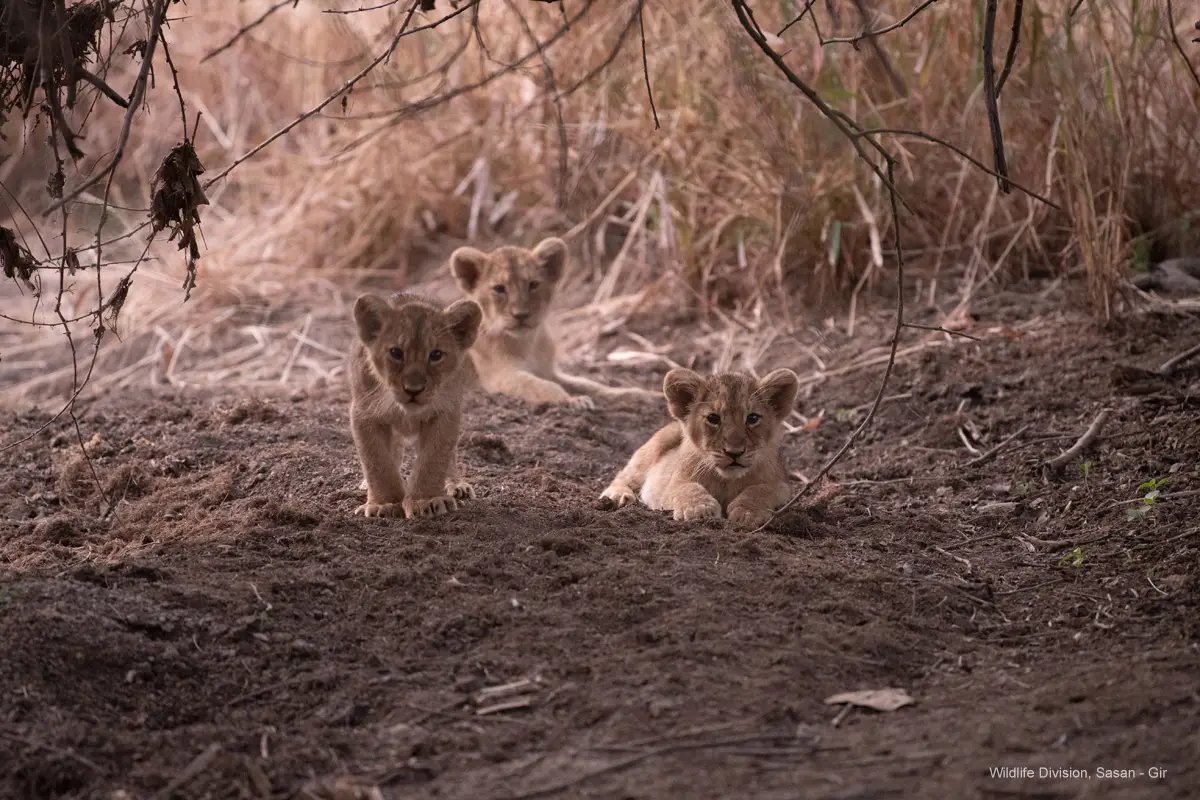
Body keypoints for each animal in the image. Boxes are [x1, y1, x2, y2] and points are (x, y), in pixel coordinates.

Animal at [348, 291, 483, 519]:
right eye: (396, 352)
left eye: (436, 355)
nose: (413, 390)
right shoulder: (364, 414)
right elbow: (377, 462)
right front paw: (385, 503)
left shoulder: (446, 413)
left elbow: (434, 459)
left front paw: (426, 500)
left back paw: (456, 484)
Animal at [448, 236, 659, 409]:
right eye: (499, 289)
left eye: (533, 284)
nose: (521, 315)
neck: (527, 343)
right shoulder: (501, 377)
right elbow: (542, 387)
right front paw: (573, 400)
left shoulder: (549, 371)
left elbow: (589, 384)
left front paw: (641, 395)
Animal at [598, 367, 801, 529]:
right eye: (713, 418)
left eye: (752, 418)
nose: (734, 453)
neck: (727, 481)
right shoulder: (672, 485)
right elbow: (687, 488)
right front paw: (699, 509)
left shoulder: (783, 486)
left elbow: (761, 489)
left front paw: (747, 511)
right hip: (652, 449)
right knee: (624, 476)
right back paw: (618, 497)